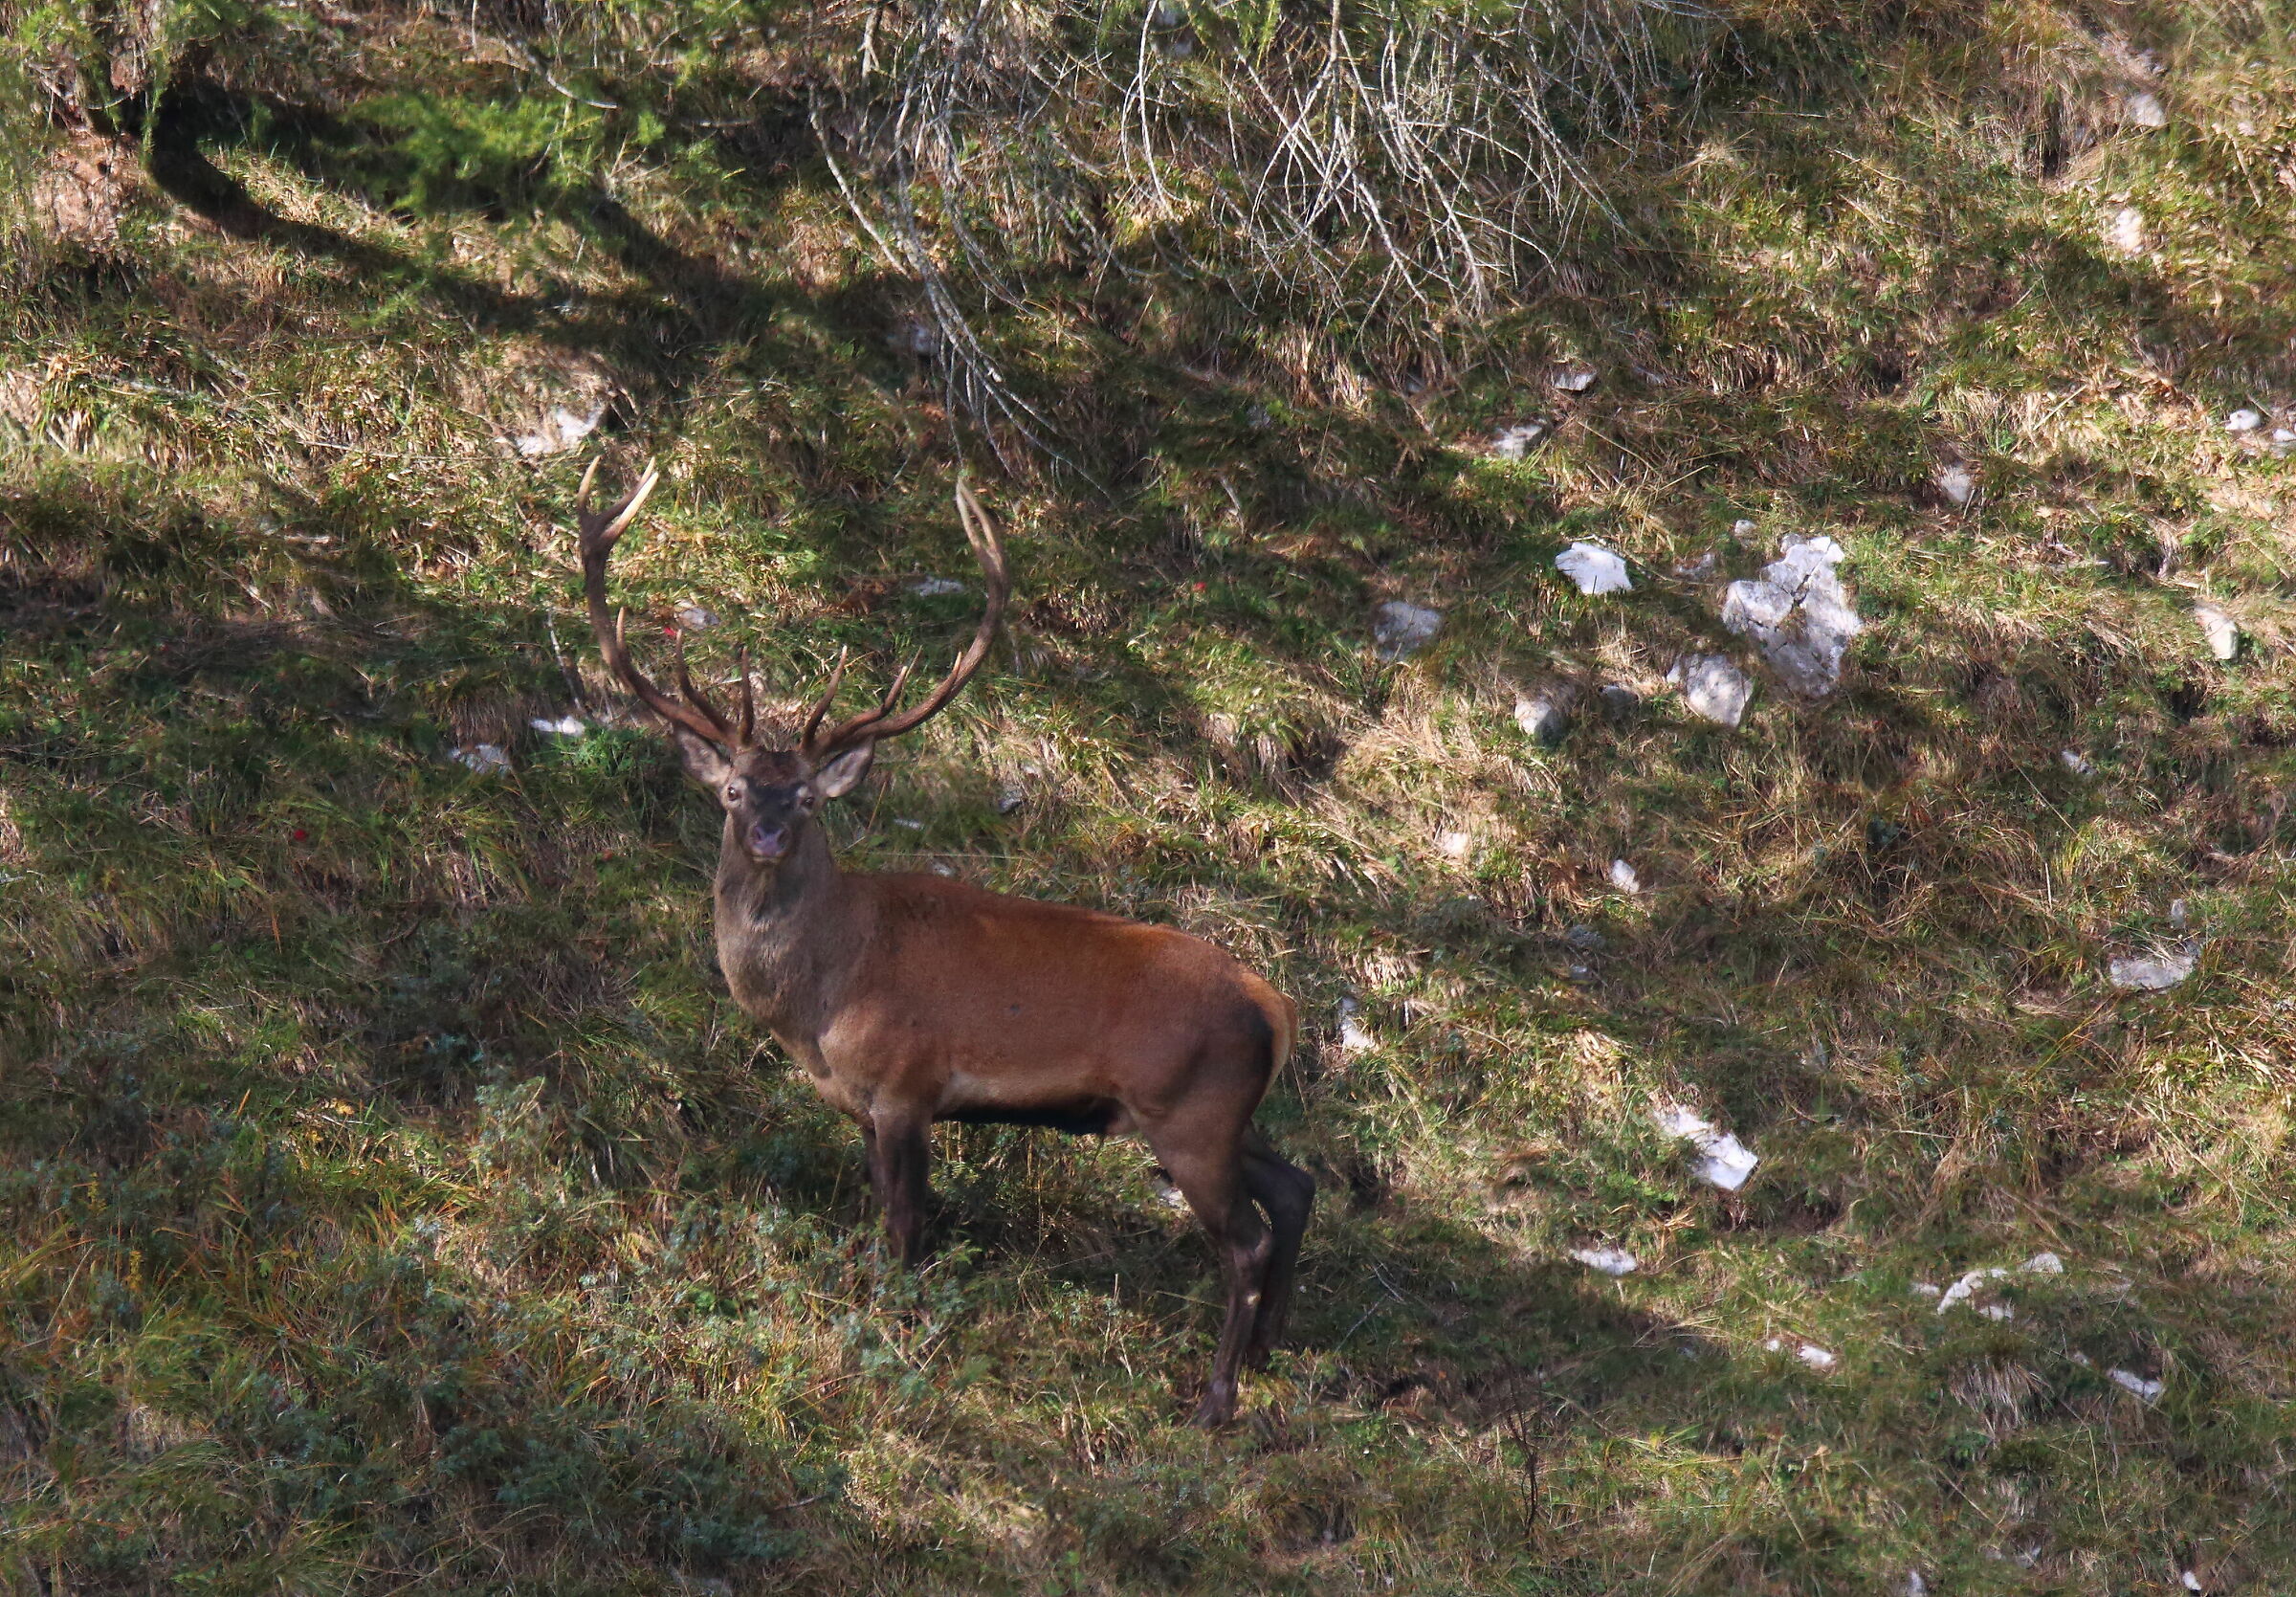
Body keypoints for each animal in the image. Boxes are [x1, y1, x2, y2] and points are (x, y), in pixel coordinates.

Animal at [573, 460, 1314, 1426]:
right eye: (734, 790)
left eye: (806, 797)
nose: (768, 833)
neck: (820, 1003)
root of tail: (1277, 1006)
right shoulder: (857, 1101)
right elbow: (874, 1217)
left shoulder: (907, 1085)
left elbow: (905, 1226)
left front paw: (889, 1331)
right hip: (1222, 1113)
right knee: (1298, 1186)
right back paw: (1266, 1350)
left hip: (1190, 1112)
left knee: (1246, 1241)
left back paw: (1216, 1396)